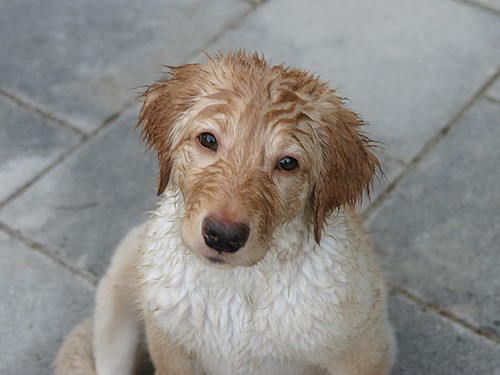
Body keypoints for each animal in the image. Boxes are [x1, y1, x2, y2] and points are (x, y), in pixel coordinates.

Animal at [56, 50, 394, 375]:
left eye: (287, 163)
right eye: (208, 139)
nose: (222, 236)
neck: (236, 284)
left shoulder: (364, 351)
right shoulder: (170, 349)